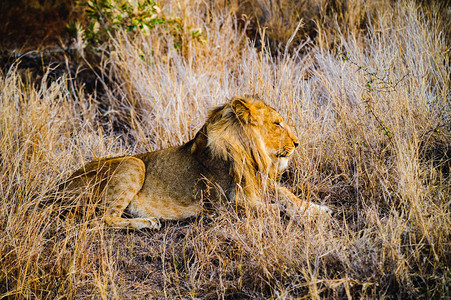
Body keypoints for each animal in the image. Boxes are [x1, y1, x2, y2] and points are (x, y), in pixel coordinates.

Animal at [61, 96, 332, 230]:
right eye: (277, 123)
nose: (297, 143)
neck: (249, 153)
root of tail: (60, 187)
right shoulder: (224, 205)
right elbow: (278, 209)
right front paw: (305, 215)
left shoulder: (256, 181)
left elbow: (288, 196)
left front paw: (318, 209)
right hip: (132, 163)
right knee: (103, 219)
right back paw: (148, 222)